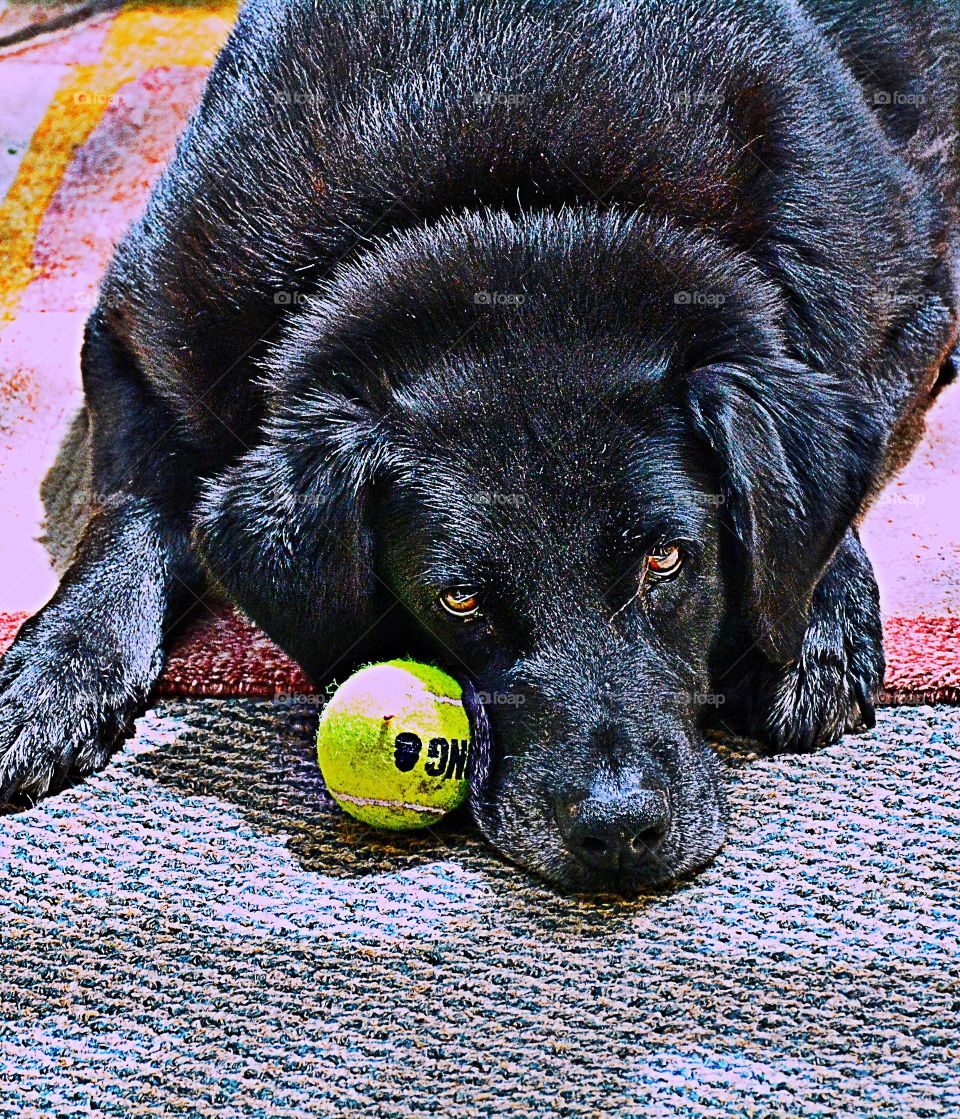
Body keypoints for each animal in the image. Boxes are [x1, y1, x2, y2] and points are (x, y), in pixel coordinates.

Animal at [1, 0, 957, 890]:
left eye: (668, 559)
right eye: (457, 599)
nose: (619, 834)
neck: (517, 208)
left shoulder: (916, 295)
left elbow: (848, 402)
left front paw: (817, 614)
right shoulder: (139, 332)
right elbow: (129, 508)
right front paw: (59, 669)